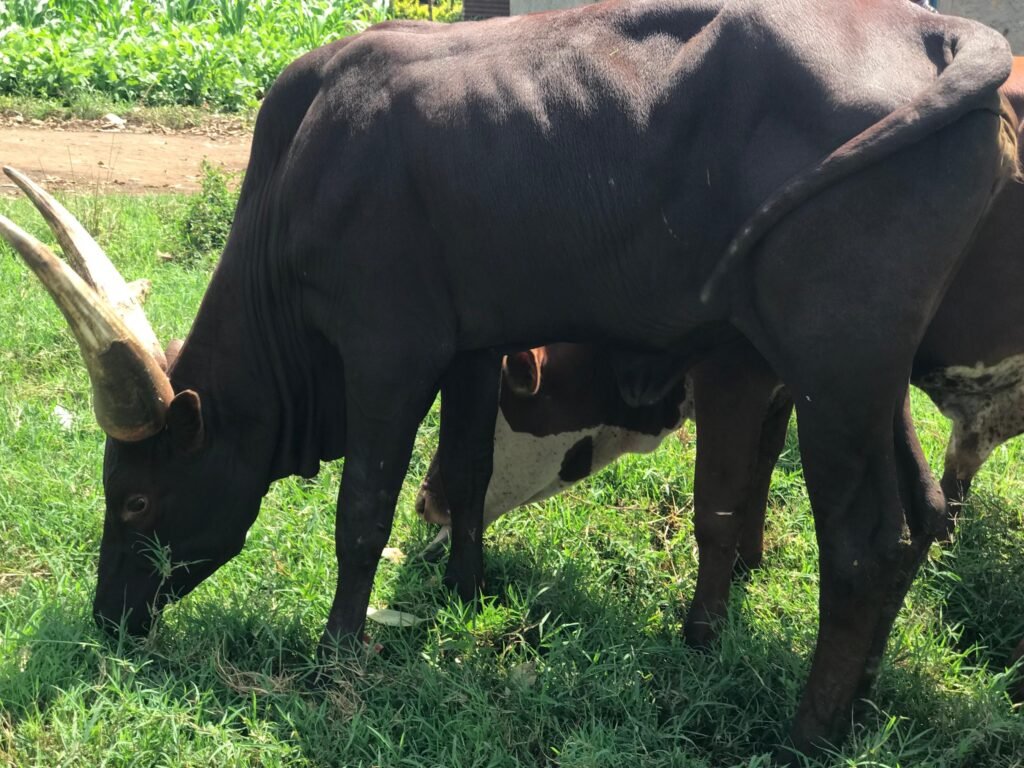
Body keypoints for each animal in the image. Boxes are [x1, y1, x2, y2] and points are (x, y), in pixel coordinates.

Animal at [0, 0, 1015, 756]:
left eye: (135, 501)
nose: (108, 619)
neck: (299, 173)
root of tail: (934, 33)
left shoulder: (387, 350)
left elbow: (362, 511)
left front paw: (337, 655)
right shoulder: (473, 346)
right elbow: (468, 468)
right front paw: (464, 589)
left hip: (833, 366)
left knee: (867, 542)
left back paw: (807, 734)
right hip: (868, 377)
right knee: (920, 519)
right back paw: (864, 701)